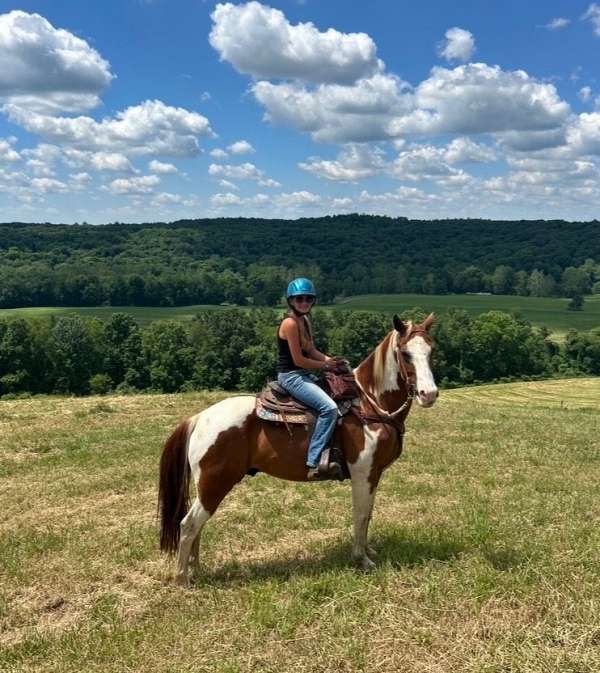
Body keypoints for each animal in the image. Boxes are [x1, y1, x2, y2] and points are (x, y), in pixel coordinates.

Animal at [158, 313, 438, 585]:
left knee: (197, 526)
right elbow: (360, 514)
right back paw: (182, 578)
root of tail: (199, 418)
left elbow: (368, 513)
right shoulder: (362, 472)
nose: (429, 394)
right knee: (189, 525)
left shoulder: (374, 474)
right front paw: (362, 559)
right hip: (214, 484)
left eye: (431, 351)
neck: (370, 405)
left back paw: (195, 570)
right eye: (405, 353)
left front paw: (368, 551)